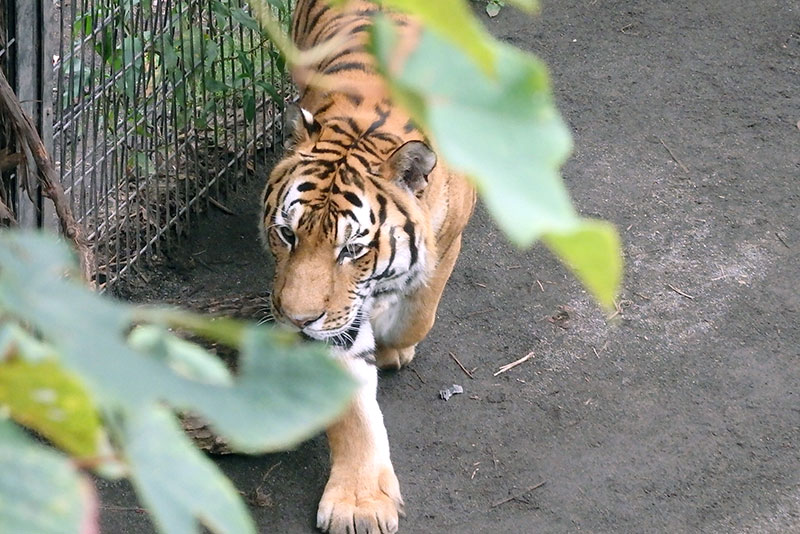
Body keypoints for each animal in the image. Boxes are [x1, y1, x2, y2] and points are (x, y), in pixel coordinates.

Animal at [260, 2, 476, 532]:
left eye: (351, 249)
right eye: (287, 234)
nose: (295, 320)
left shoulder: (449, 242)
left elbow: (420, 313)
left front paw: (394, 347)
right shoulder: (332, 322)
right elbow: (352, 409)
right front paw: (357, 504)